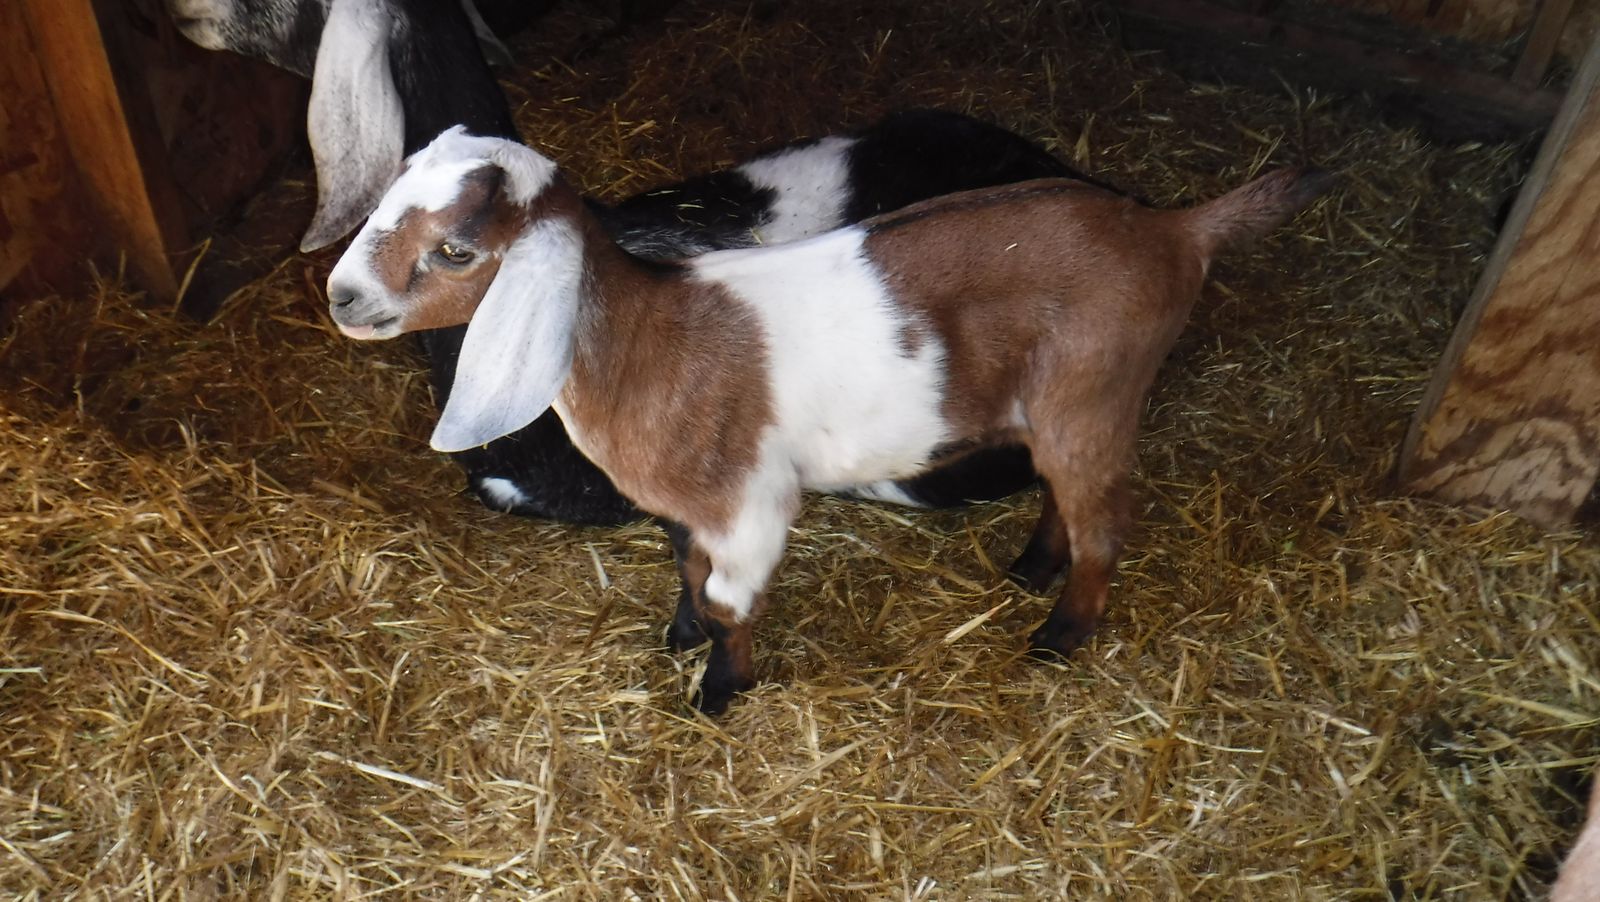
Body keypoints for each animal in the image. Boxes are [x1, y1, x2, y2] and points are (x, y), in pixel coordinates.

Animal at [325, 128, 1332, 714]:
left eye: (458, 249)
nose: (341, 296)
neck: (648, 338)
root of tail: (1173, 232)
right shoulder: (692, 507)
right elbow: (686, 569)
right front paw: (681, 637)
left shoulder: (751, 503)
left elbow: (731, 598)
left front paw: (719, 691)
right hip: (1053, 407)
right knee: (1064, 496)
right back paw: (1030, 568)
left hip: (1096, 392)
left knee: (1105, 521)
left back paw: (1058, 634)